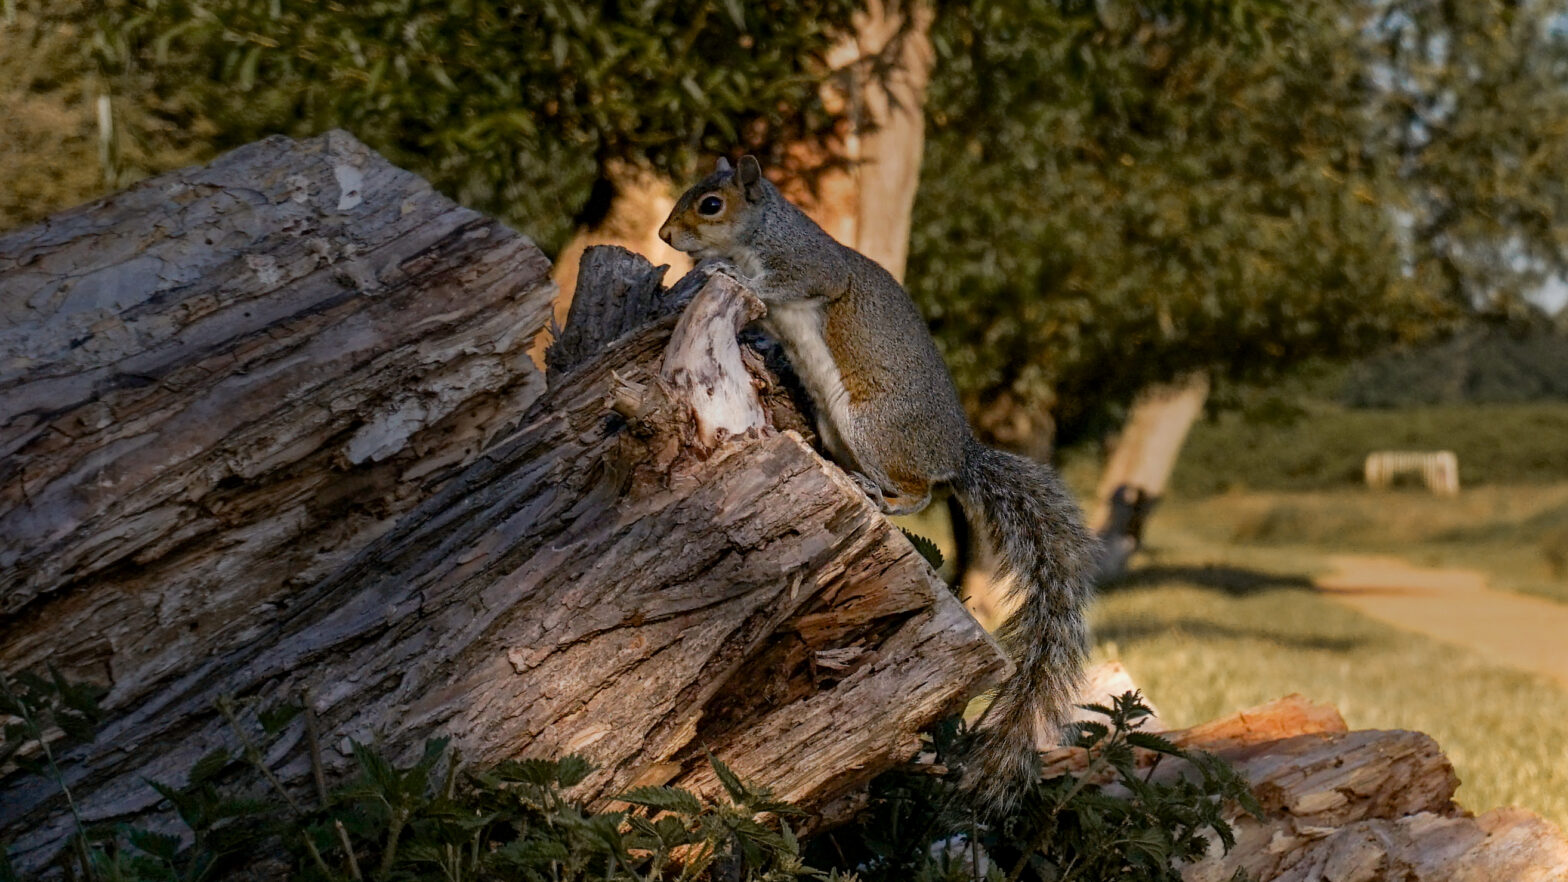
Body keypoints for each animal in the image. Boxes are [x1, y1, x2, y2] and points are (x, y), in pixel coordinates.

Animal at [655, 154, 1097, 816]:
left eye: (711, 204)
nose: (665, 236)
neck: (766, 229)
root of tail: (959, 454)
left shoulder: (812, 266)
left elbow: (786, 284)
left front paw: (722, 270)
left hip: (873, 427)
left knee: (922, 493)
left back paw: (878, 492)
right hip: (838, 427)